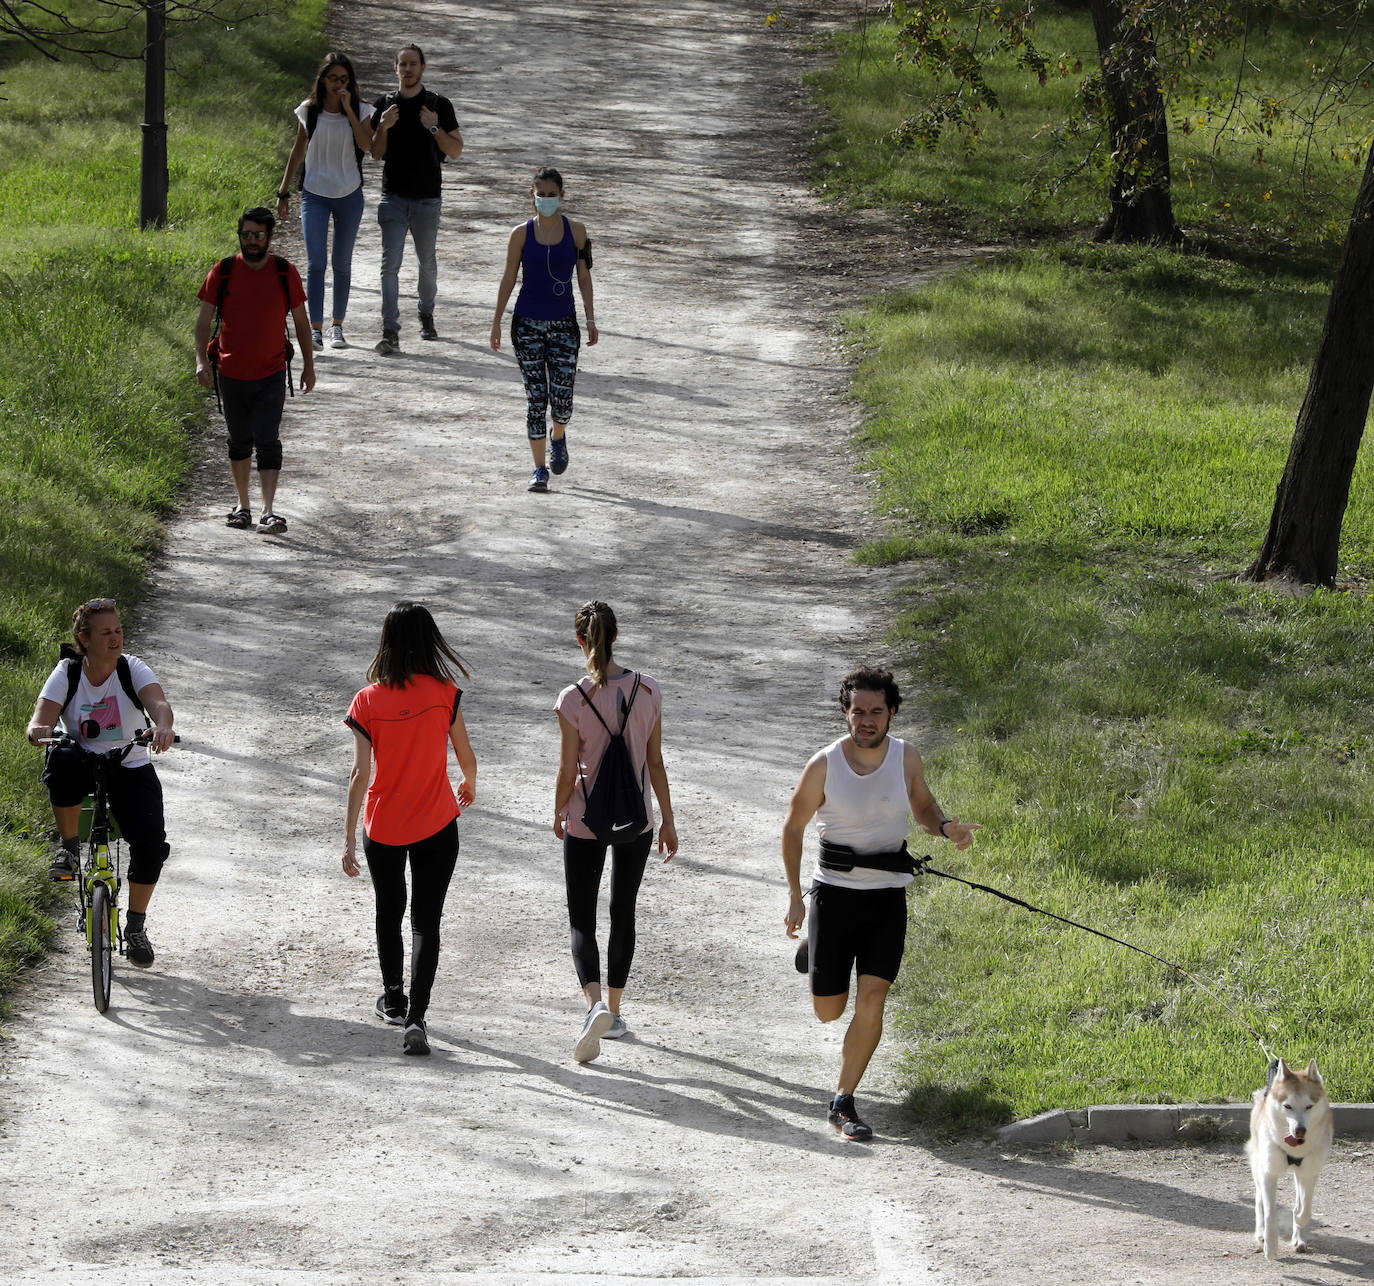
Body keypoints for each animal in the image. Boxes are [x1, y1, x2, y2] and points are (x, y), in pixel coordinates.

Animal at [1247, 1060, 1330, 1258]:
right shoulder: (1268, 1171)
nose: (1300, 1130)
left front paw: (1299, 1220)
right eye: (1287, 1106)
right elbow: (1269, 1211)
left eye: (1309, 1106)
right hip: (1258, 1163)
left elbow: (1303, 1210)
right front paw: (1270, 1246)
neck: (1294, 1150)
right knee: (1259, 1201)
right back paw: (1260, 1234)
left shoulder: (1308, 1172)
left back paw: (1298, 1239)